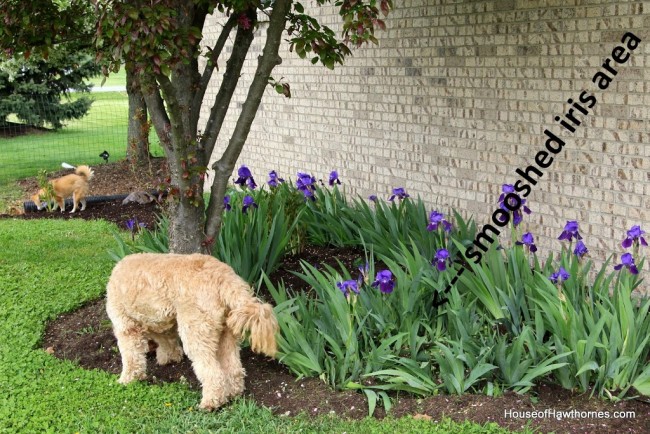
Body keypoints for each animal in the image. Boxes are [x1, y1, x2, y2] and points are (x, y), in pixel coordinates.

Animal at [106, 251, 278, 410]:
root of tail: (224, 277)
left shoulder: (125, 325)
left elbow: (131, 357)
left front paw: (127, 379)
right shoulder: (164, 322)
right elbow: (167, 340)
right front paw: (170, 357)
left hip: (196, 331)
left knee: (212, 373)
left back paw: (211, 402)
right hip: (226, 333)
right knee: (233, 368)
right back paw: (233, 392)